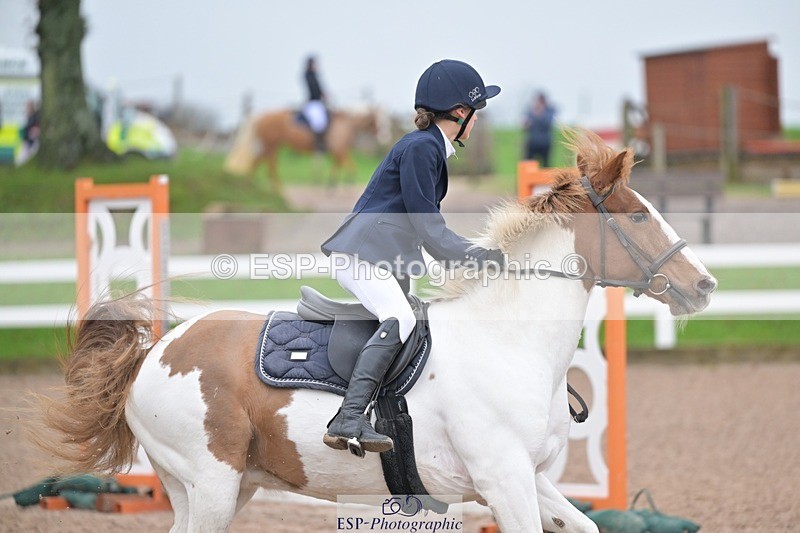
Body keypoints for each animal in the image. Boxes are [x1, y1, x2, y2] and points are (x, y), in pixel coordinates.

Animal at [40, 129, 716, 532]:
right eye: (638, 216)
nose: (704, 284)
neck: (512, 344)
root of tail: (156, 350)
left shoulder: (533, 480)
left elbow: (587, 523)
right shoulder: (503, 482)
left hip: (217, 488)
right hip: (212, 482)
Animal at [224, 106, 390, 192]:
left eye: (385, 120)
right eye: (379, 120)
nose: (385, 137)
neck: (347, 123)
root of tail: (260, 116)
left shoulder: (339, 151)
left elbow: (339, 165)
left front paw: (333, 184)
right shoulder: (339, 150)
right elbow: (349, 165)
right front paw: (345, 182)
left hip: (270, 146)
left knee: (259, 163)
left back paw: (251, 186)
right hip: (272, 146)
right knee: (269, 166)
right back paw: (274, 188)